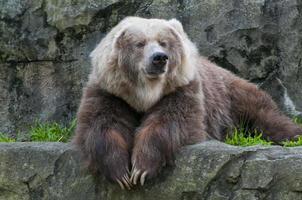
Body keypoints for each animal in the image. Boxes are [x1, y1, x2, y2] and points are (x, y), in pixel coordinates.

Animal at [73, 16, 302, 189]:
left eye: (163, 42)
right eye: (140, 44)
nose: (159, 58)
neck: (145, 94)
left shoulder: (182, 89)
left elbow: (172, 122)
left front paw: (141, 168)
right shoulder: (109, 92)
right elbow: (101, 124)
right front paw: (120, 172)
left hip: (235, 98)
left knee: (268, 119)